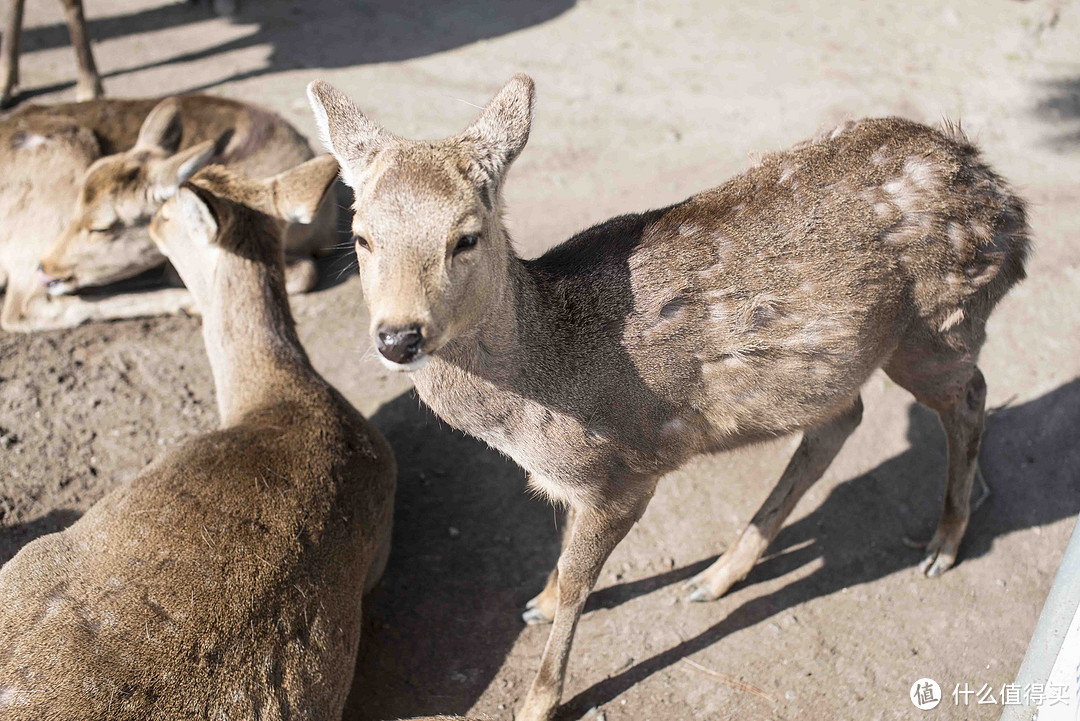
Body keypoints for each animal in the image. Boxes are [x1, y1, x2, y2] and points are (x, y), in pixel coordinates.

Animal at [308, 74, 1032, 721]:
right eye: (361, 236)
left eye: (466, 237)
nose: (399, 335)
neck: (540, 388)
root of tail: (1002, 197)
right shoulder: (580, 485)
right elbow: (563, 557)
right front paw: (539, 599)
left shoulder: (625, 470)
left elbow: (581, 580)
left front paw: (539, 699)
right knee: (843, 419)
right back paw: (715, 577)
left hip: (937, 322)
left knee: (970, 395)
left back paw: (942, 544)